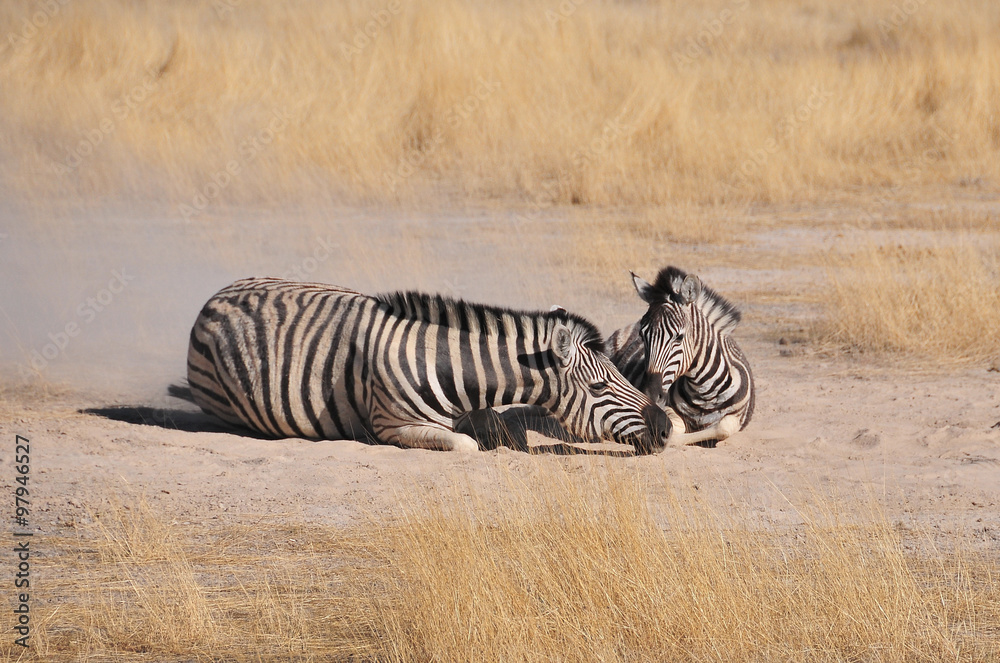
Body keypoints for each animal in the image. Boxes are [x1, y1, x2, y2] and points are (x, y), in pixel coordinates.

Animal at [186, 278, 668, 453]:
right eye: (600, 388)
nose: (666, 429)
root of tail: (215, 296)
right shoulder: (393, 426)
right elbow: (466, 445)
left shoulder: (479, 409)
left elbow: (504, 431)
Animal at [606, 266, 755, 447]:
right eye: (643, 335)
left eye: (679, 337)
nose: (649, 394)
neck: (703, 391)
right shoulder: (665, 407)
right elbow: (676, 426)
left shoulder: (737, 418)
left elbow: (723, 427)